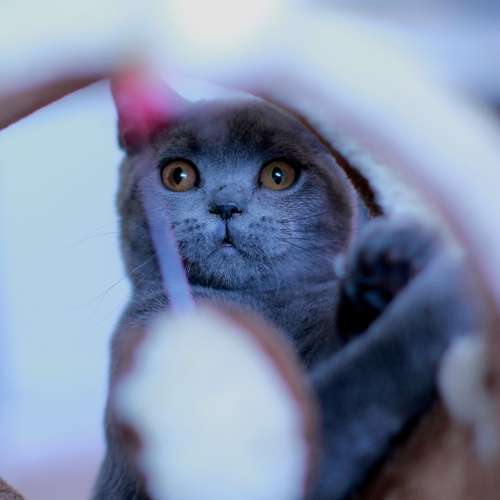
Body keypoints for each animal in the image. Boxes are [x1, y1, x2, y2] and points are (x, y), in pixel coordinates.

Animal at [93, 92, 482, 500]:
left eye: (278, 175)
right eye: (178, 175)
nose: (226, 205)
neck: (262, 305)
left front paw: (394, 259)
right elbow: (366, 372)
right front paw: (448, 290)